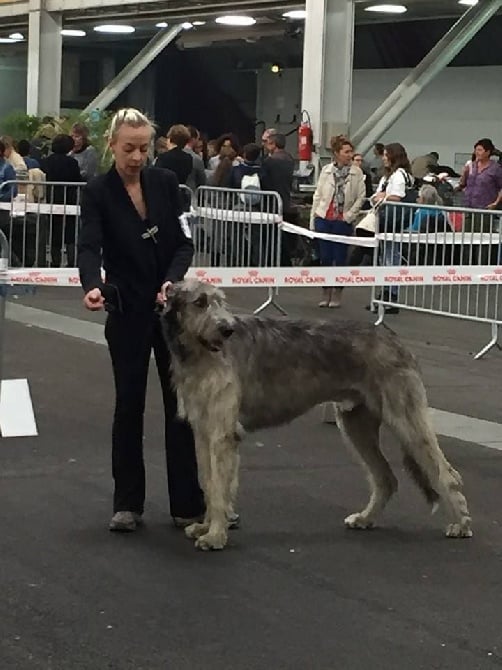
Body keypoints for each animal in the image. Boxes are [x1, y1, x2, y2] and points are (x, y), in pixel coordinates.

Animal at [163, 278, 472, 552]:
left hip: (406, 419)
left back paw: (460, 524)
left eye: (220, 302)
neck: (200, 353)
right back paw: (365, 518)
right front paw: (205, 527)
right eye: (200, 302)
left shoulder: (222, 434)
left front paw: (215, 536)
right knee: (385, 478)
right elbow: (208, 482)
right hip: (355, 424)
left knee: (445, 473)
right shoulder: (203, 431)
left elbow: (219, 487)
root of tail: (396, 341)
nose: (227, 329)